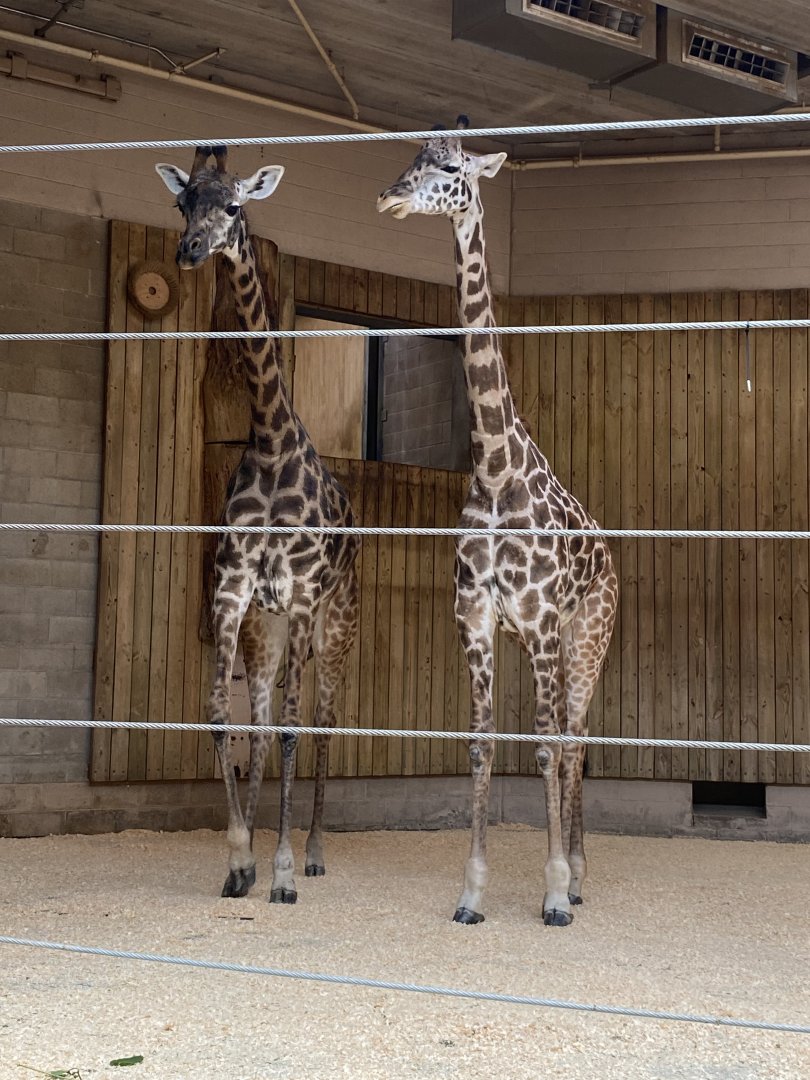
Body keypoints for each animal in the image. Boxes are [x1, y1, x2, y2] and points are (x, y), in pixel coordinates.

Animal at [156, 146, 359, 903]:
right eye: (184, 203)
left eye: (235, 205)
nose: (191, 250)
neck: (271, 441)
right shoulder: (235, 592)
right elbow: (223, 715)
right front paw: (239, 860)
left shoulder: (299, 597)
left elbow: (299, 730)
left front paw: (281, 872)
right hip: (264, 631)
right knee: (266, 722)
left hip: (334, 626)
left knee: (323, 723)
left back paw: (316, 854)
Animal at [378, 124, 618, 926]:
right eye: (412, 158)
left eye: (451, 166)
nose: (390, 196)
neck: (494, 466)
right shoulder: (477, 618)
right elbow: (481, 744)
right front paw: (471, 893)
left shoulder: (540, 622)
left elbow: (542, 747)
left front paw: (552, 891)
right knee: (571, 740)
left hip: (588, 635)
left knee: (573, 738)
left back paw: (577, 878)